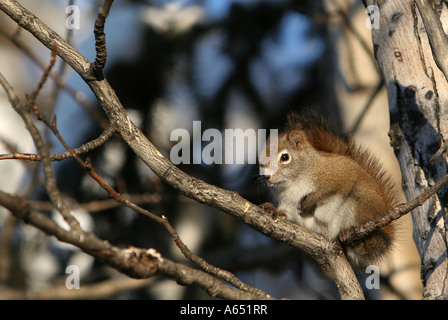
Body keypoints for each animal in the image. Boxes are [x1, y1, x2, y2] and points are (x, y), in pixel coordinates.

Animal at [260, 111, 402, 272]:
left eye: (285, 157)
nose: (266, 176)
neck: (292, 182)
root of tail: (388, 236)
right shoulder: (287, 202)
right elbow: (286, 213)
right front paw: (274, 210)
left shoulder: (336, 175)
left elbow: (327, 190)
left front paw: (307, 203)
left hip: (358, 208)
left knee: (370, 244)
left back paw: (356, 238)